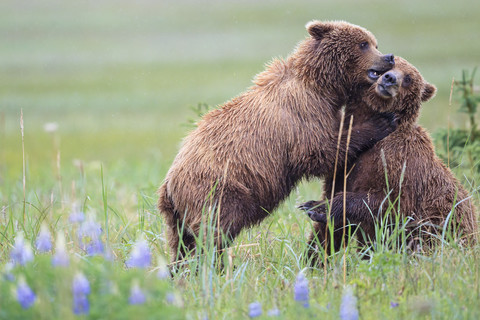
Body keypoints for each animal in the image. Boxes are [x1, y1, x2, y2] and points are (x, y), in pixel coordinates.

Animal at [159, 20, 396, 262]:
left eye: (374, 43)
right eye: (363, 44)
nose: (388, 57)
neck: (323, 88)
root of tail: (169, 186)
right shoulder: (303, 113)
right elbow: (319, 151)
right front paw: (381, 122)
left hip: (177, 216)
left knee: (182, 243)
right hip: (218, 190)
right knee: (214, 232)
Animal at [302, 55, 478, 258]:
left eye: (408, 77)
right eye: (384, 69)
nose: (390, 78)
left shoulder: (398, 161)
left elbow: (391, 203)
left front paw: (318, 207)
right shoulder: (345, 163)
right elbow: (329, 232)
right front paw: (314, 255)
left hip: (443, 230)